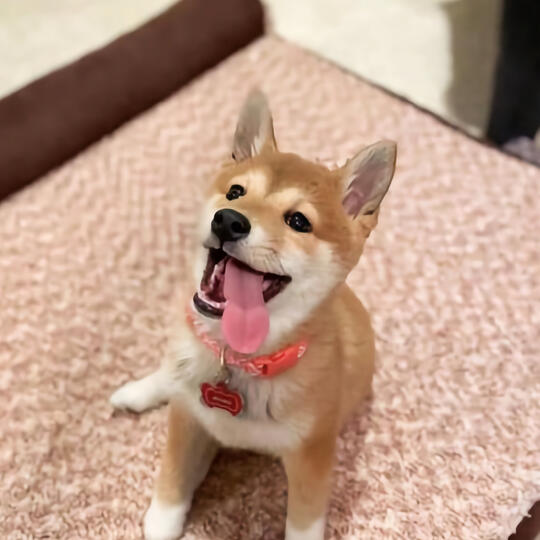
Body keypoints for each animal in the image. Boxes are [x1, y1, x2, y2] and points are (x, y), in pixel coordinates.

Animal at [110, 90, 397, 540]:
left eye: (298, 221)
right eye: (235, 192)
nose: (228, 221)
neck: (240, 361)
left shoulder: (311, 457)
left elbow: (303, 525)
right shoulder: (189, 422)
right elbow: (173, 478)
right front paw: (162, 521)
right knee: (171, 375)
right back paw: (138, 392)